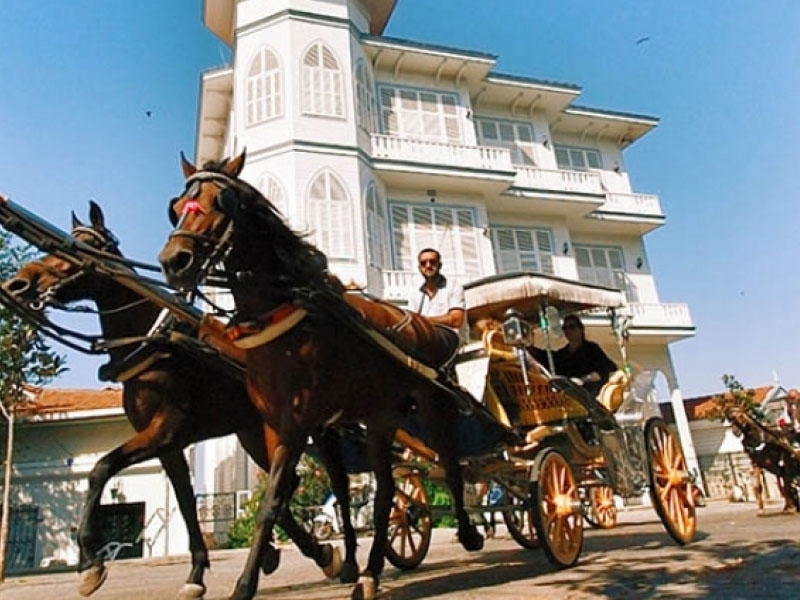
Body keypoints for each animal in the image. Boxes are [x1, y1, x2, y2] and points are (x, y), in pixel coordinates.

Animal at [0, 204, 356, 596]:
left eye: (86, 245)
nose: (18, 284)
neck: (153, 346)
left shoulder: (164, 431)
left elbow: (100, 469)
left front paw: (92, 564)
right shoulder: (169, 446)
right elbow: (185, 504)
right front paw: (196, 573)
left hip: (303, 428)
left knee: (329, 482)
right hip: (252, 434)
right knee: (287, 485)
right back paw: (293, 554)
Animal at [156, 151, 488, 600]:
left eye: (221, 202)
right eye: (176, 207)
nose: (174, 261)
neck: (282, 315)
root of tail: (422, 324)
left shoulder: (298, 425)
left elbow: (272, 502)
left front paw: (245, 583)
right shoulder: (282, 425)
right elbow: (298, 497)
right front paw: (332, 560)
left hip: (428, 406)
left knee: (446, 466)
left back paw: (463, 533)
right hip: (379, 415)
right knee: (386, 489)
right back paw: (369, 569)